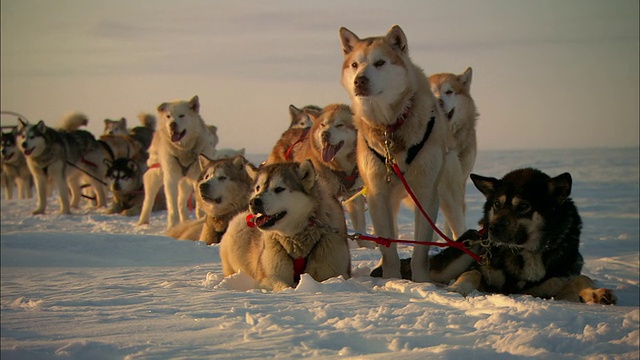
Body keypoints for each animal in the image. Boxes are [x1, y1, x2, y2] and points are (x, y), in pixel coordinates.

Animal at [219, 162, 350, 292]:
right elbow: (281, 285)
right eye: (258, 188)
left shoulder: (333, 271)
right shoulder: (269, 275)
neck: (296, 238)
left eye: (279, 189)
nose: (254, 202)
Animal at [290, 102, 370, 246]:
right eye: (323, 124)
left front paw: (365, 245)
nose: (325, 134)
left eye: (340, 125)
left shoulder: (353, 192)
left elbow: (359, 221)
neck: (340, 168)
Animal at [338, 25, 462, 282]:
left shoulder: (426, 193)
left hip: (448, 195)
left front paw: (422, 281)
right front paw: (391, 280)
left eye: (380, 62)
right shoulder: (377, 194)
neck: (390, 127)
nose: (359, 80)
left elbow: (421, 249)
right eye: (355, 64)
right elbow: (388, 247)